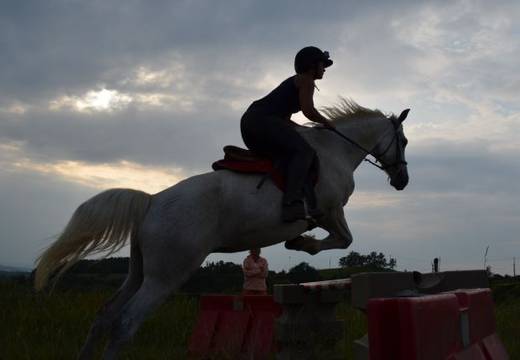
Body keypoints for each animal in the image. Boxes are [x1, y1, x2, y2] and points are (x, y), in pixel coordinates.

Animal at [34, 97, 410, 358]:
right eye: (404, 142)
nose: (402, 181)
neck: (336, 151)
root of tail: (152, 201)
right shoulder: (329, 210)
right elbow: (343, 239)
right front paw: (302, 244)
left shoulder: (328, 213)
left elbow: (342, 240)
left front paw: (299, 243)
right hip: (166, 275)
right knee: (125, 323)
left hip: (139, 271)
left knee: (105, 317)